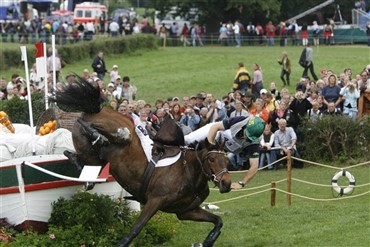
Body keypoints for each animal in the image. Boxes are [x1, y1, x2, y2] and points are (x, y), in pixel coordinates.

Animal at [50, 76, 231, 246]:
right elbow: (135, 229)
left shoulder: (186, 211)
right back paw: (101, 133)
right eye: (212, 159)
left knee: (76, 156)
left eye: (227, 161)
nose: (227, 184)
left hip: (93, 158)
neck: (190, 173)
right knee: (117, 133)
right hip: (111, 129)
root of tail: (95, 110)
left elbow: (218, 221)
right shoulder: (155, 201)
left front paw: (206, 241)